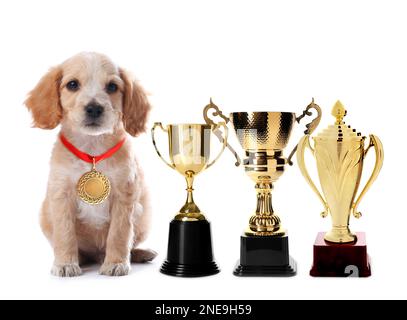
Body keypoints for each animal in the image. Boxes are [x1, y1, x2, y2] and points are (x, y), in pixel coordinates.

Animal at [24, 51, 157, 276]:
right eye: (72, 84)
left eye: (112, 87)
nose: (94, 108)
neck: (92, 150)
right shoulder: (61, 195)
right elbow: (65, 234)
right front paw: (65, 264)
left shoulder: (125, 196)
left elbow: (120, 234)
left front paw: (116, 263)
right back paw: (81, 258)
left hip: (143, 213)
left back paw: (139, 253)